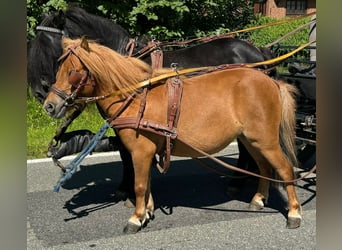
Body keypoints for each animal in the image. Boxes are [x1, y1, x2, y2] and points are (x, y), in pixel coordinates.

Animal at [28, 5, 276, 201]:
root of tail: (258, 52)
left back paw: (237, 182)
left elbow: (126, 153)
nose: (41, 94)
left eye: (47, 44)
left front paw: (125, 188)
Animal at [43, 37, 302, 234]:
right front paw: (146, 212)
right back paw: (258, 199)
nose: (49, 106)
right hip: (252, 139)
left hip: (265, 140)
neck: (136, 98)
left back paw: (294, 213)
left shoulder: (140, 151)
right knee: (264, 167)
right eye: (58, 69)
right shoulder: (146, 152)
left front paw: (135, 218)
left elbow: (139, 185)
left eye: (73, 72)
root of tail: (270, 80)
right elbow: (147, 183)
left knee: (284, 169)